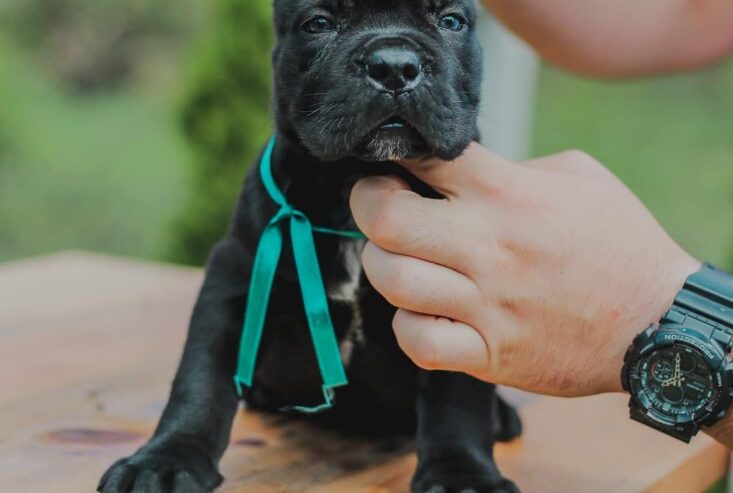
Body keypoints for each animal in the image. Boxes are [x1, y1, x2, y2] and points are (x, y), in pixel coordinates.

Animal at [98, 0, 520, 492]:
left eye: (451, 21)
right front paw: (164, 459)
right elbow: (200, 378)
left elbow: (457, 395)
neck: (356, 179)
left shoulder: (458, 293)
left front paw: (462, 473)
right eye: (318, 23)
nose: (394, 66)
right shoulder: (235, 278)